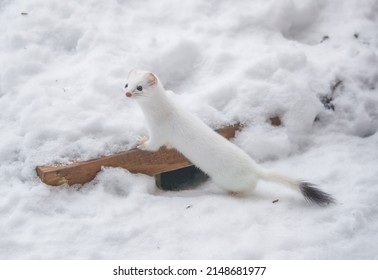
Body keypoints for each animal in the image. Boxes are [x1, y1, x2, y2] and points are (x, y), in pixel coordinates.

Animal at [124, 69, 334, 206]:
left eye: (139, 87)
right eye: (126, 83)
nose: (127, 93)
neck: (160, 113)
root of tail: (254, 168)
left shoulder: (160, 131)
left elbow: (154, 145)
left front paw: (141, 142)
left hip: (225, 179)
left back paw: (233, 193)